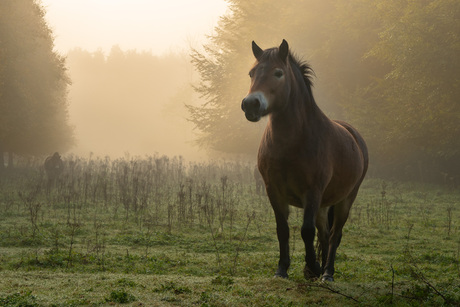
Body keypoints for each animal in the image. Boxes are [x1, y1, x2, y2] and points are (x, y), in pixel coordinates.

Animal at [241, 39, 366, 282]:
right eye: (252, 73)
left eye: (278, 73)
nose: (251, 104)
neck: (293, 142)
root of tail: (354, 135)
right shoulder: (274, 191)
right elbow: (283, 230)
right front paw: (282, 269)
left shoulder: (312, 191)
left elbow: (306, 231)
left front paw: (312, 267)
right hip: (323, 205)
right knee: (324, 234)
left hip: (346, 199)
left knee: (335, 235)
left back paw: (327, 272)